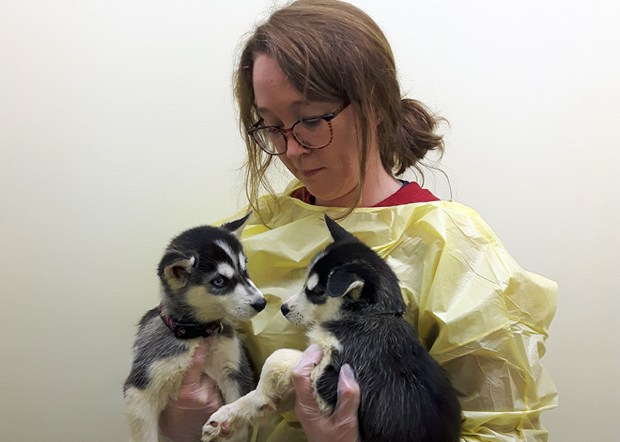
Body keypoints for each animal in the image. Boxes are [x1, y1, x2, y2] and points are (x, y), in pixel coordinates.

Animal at [123, 213, 266, 442]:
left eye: (245, 271)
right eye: (219, 281)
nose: (262, 303)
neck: (198, 334)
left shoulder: (236, 372)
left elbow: (238, 420)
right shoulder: (140, 391)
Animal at [202, 215, 461, 442]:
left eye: (316, 291)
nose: (284, 308)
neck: (371, 314)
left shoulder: (329, 380)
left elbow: (278, 357)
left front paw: (259, 394)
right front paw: (229, 414)